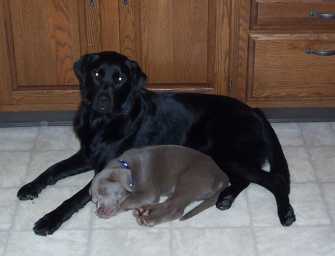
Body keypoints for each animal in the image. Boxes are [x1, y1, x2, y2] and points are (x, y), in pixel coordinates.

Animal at [90, 145, 230, 227]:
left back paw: (149, 218)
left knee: (174, 209)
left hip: (190, 180)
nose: (99, 212)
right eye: (94, 201)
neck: (128, 166)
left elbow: (126, 201)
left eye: (103, 191)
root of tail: (222, 175)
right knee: (170, 203)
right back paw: (145, 210)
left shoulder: (148, 192)